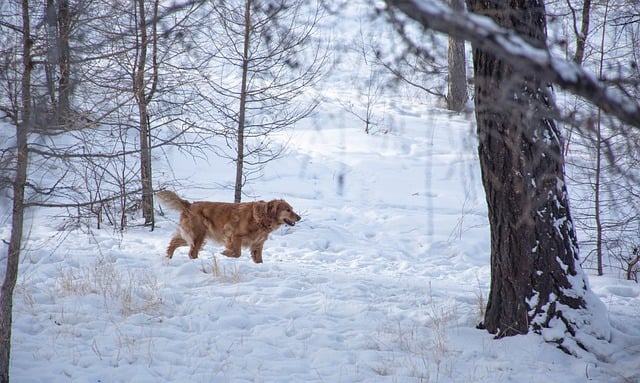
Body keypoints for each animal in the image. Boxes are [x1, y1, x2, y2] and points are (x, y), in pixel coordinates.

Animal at [158, 191, 302, 264]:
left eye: (292, 209)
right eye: (288, 210)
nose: (299, 218)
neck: (262, 218)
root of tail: (189, 205)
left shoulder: (257, 244)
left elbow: (259, 259)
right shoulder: (233, 234)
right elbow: (237, 253)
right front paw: (226, 253)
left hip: (193, 235)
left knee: (174, 242)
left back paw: (168, 257)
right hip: (198, 235)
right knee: (192, 252)